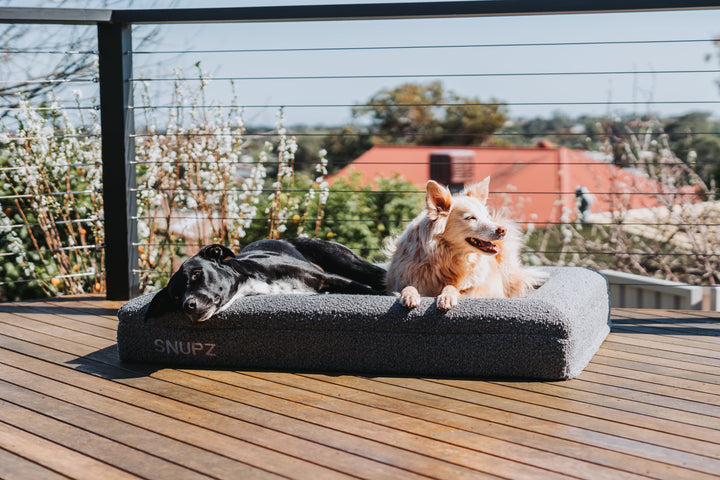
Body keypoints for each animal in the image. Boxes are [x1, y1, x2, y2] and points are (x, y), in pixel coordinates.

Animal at [143, 237, 386, 322]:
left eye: (196, 274)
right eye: (176, 297)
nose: (188, 305)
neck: (251, 279)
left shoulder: (325, 278)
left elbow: (369, 291)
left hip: (348, 263)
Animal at [382, 178, 544, 310]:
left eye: (487, 217)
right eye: (470, 218)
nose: (502, 230)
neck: (446, 259)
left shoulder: (470, 290)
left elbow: (453, 287)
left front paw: (447, 296)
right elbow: (408, 287)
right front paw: (410, 295)